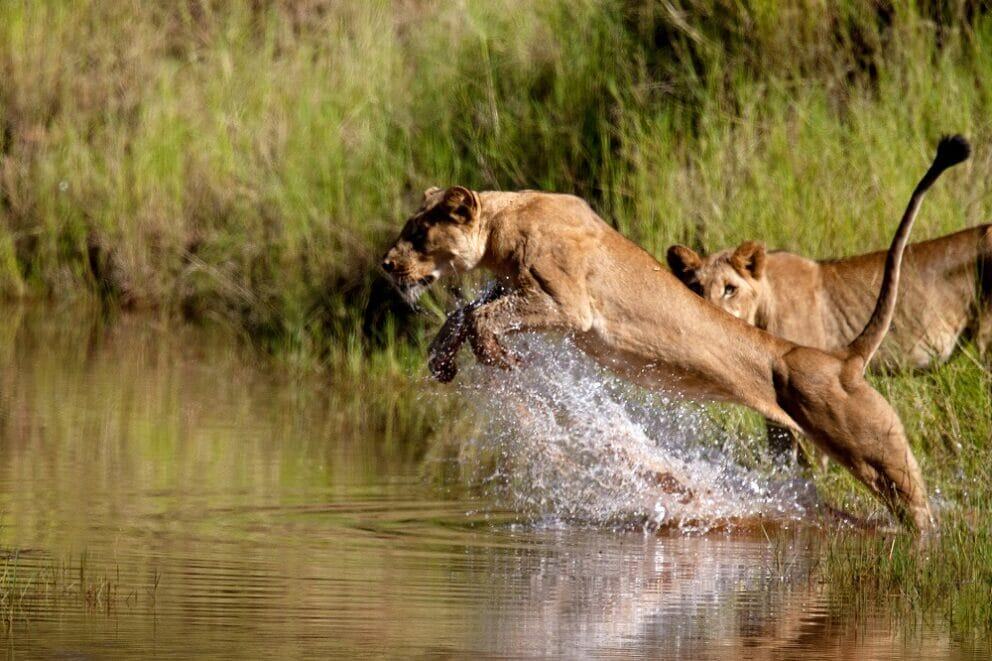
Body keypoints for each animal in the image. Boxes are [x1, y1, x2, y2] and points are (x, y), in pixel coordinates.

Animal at [381, 136, 971, 531]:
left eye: (417, 235)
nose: (387, 264)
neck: (501, 226)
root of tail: (840, 359)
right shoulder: (517, 288)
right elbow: (466, 311)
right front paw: (442, 360)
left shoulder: (568, 304)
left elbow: (483, 316)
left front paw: (494, 355)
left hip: (872, 449)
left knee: (917, 505)